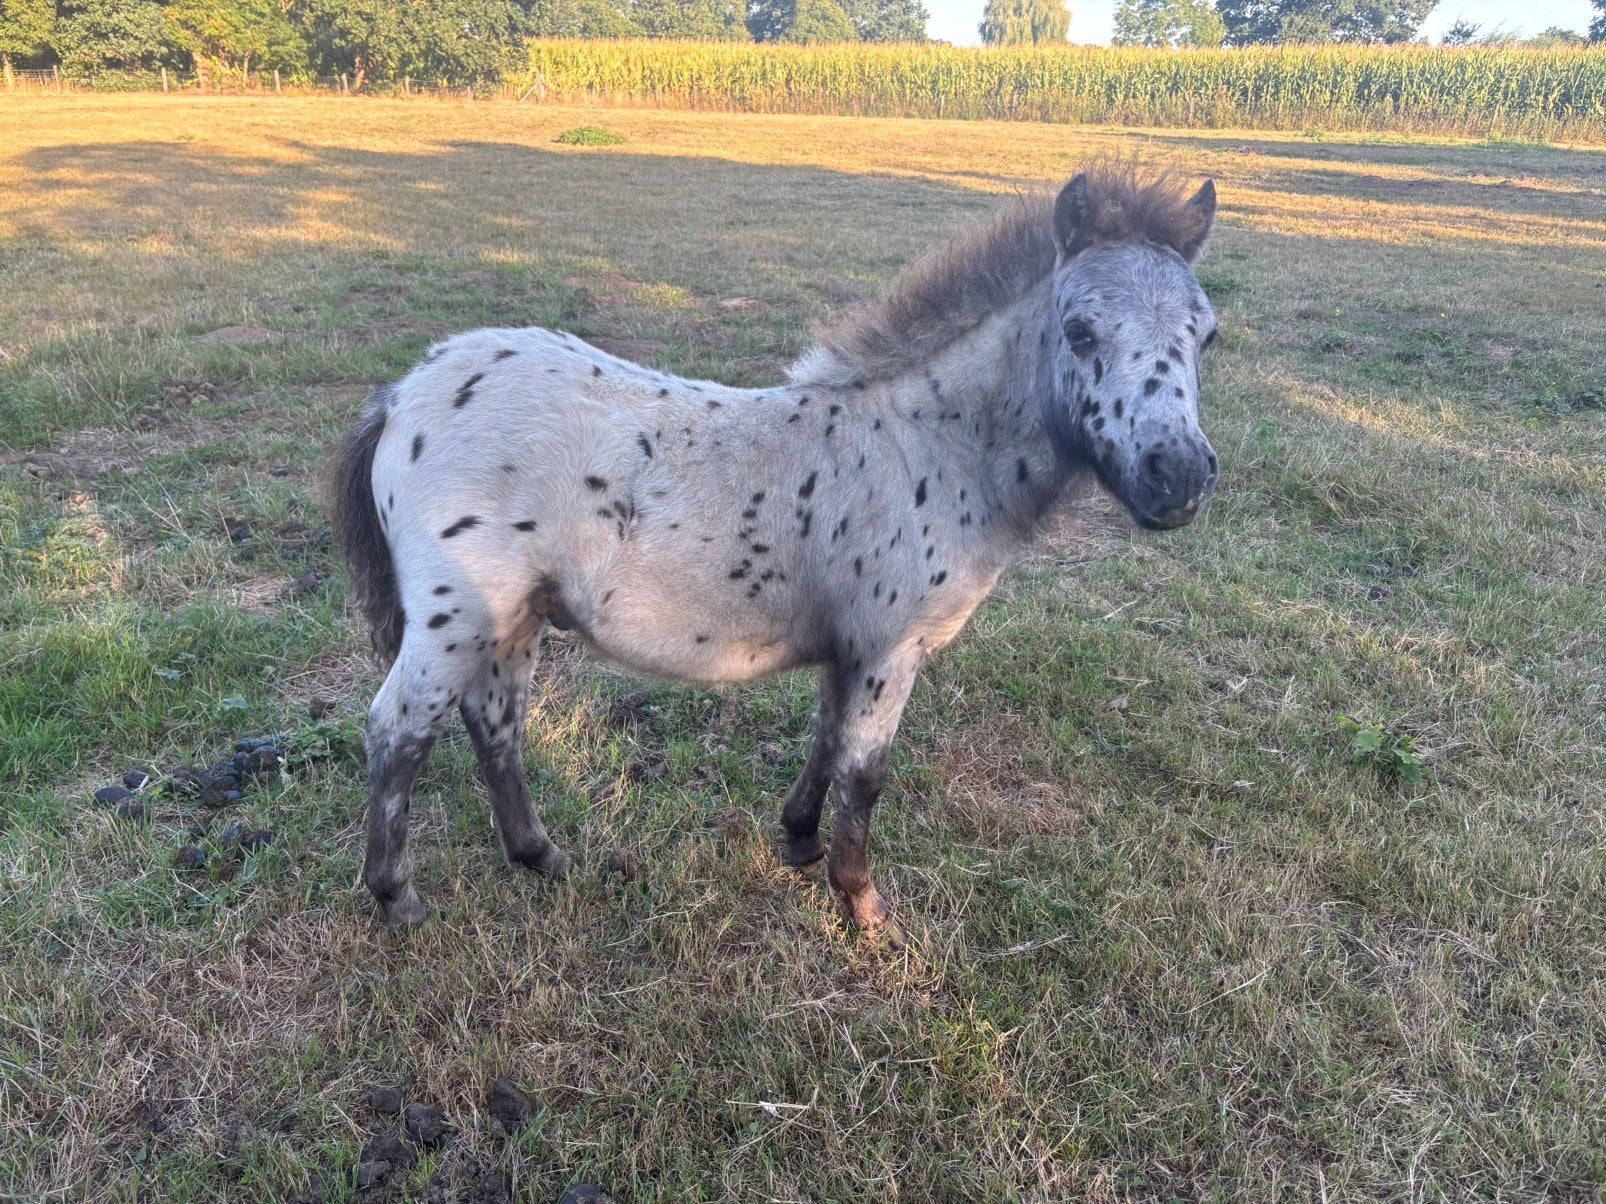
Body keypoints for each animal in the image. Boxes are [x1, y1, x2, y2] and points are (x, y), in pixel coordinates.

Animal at [329, 164, 1222, 938]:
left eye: (1206, 336)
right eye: (1079, 328)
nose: (1178, 476)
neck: (928, 449)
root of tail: (404, 394)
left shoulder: (851, 648)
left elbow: (827, 740)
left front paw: (798, 842)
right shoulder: (891, 650)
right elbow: (866, 772)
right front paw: (863, 906)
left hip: (513, 618)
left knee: (496, 723)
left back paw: (542, 857)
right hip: (456, 619)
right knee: (398, 731)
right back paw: (397, 897)